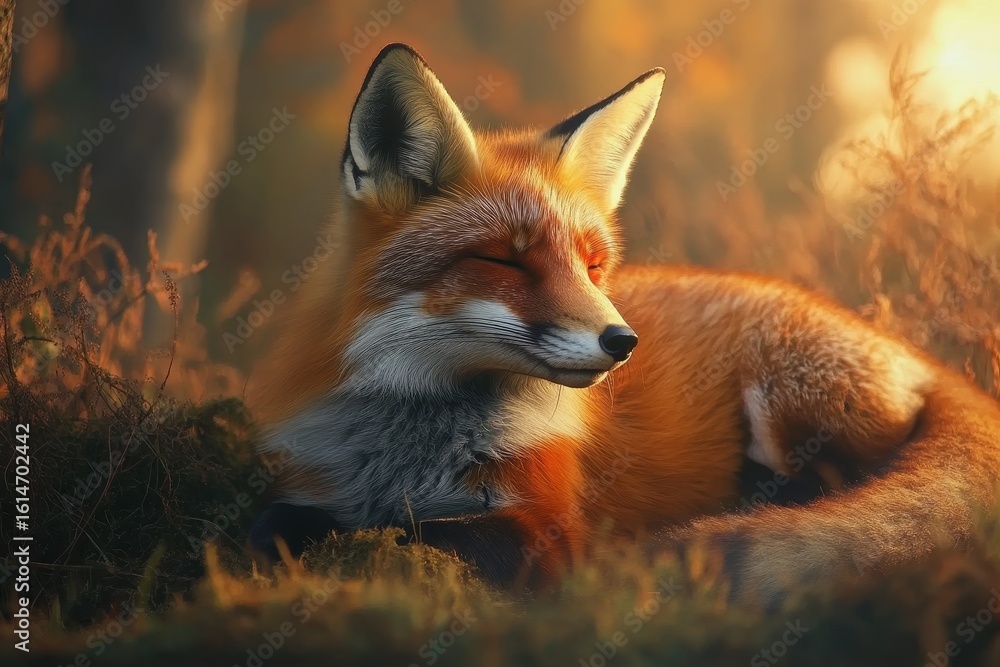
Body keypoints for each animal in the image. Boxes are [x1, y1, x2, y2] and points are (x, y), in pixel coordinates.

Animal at [248, 42, 1000, 606]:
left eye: (592, 265)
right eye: (505, 261)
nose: (623, 342)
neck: (409, 439)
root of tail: (911, 349)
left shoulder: (548, 529)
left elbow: (409, 533)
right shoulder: (307, 477)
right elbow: (282, 521)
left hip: (787, 410)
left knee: (835, 491)